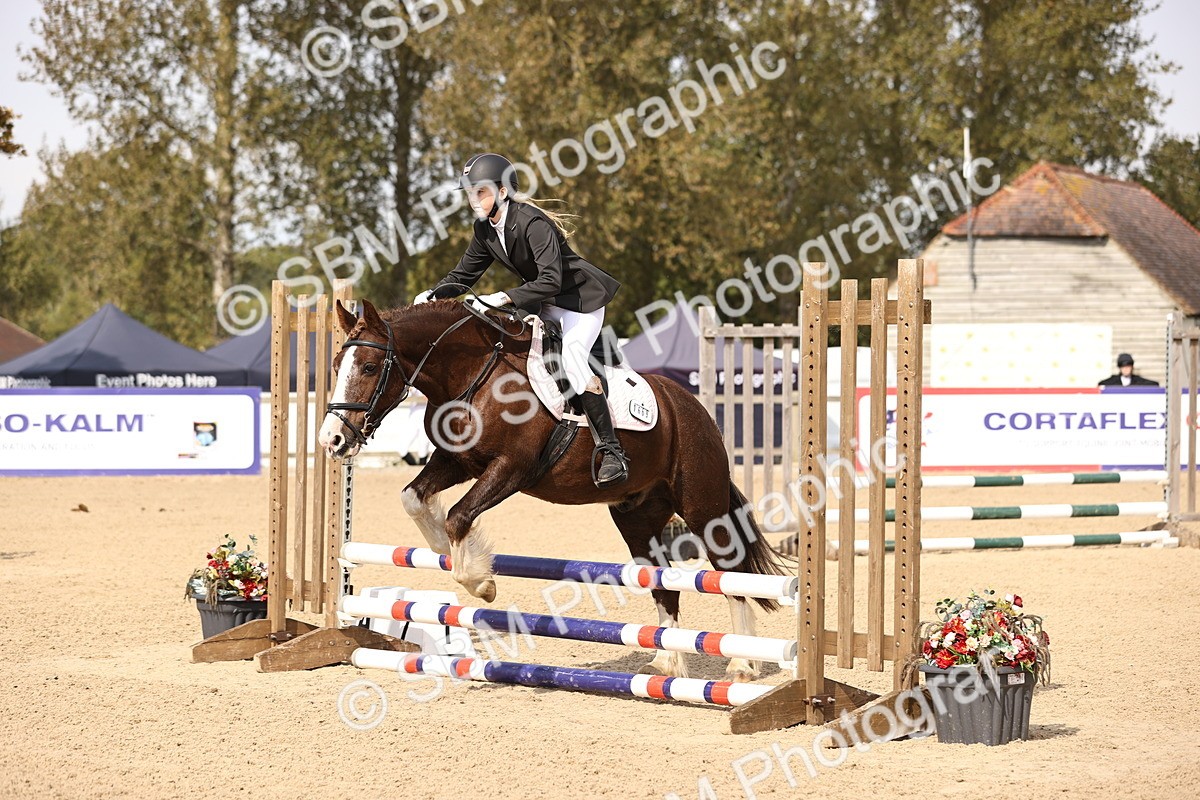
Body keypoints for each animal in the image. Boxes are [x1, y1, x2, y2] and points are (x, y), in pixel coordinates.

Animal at [316, 298, 789, 682]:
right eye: (337, 367)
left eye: (370, 367)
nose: (331, 441)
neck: (473, 374)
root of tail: (694, 408)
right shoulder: (456, 462)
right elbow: (415, 500)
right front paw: (445, 552)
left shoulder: (512, 467)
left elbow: (459, 516)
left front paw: (481, 582)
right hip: (638, 516)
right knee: (662, 580)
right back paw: (665, 663)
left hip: (702, 507)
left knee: (729, 573)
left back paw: (742, 664)